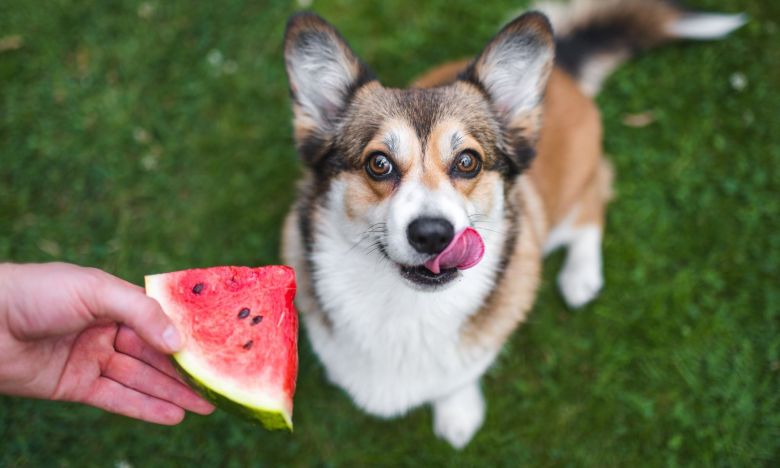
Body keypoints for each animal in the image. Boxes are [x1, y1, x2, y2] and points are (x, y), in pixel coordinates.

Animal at [278, 0, 744, 448]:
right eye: (378, 164)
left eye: (468, 161)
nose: (433, 234)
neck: (406, 308)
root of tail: (562, 67)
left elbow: (460, 377)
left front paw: (458, 414)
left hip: (570, 199)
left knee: (594, 202)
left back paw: (581, 275)